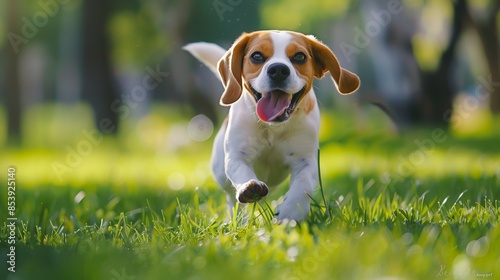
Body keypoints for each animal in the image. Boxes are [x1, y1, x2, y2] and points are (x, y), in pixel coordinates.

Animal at [184, 30, 360, 222]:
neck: (273, 128)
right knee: (232, 198)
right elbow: (241, 171)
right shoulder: (237, 155)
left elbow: (303, 184)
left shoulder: (306, 159)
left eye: (300, 56)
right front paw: (249, 187)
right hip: (220, 173)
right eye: (257, 56)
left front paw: (292, 209)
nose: (278, 70)